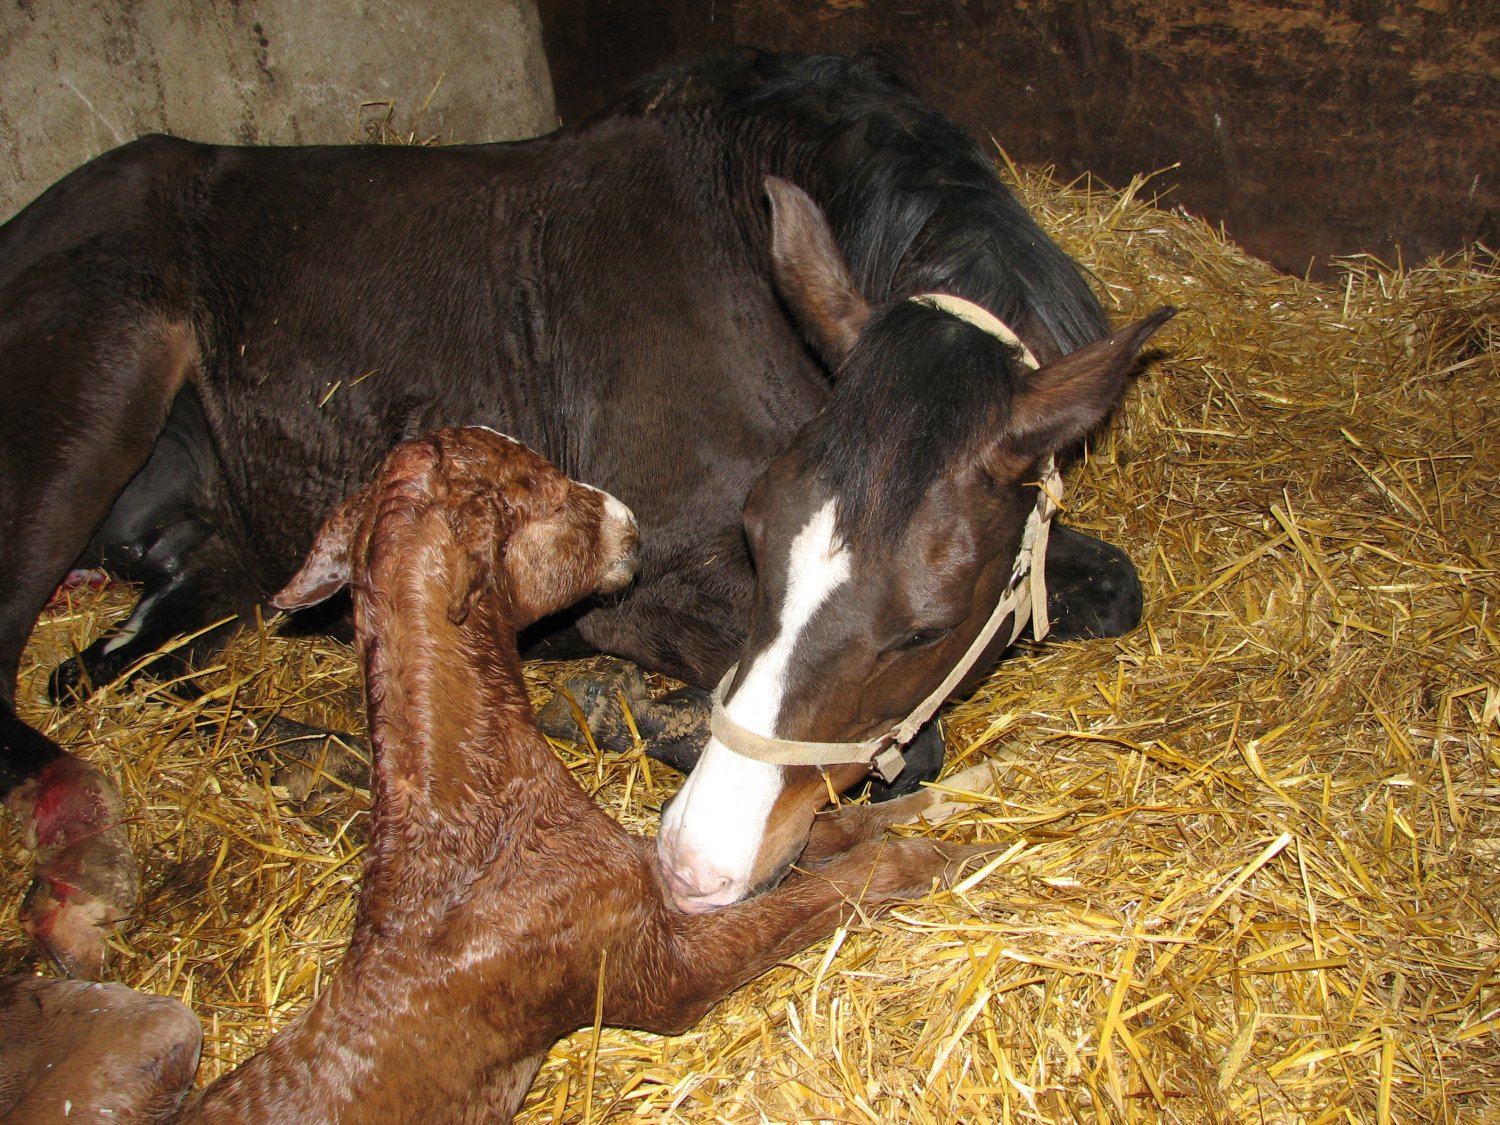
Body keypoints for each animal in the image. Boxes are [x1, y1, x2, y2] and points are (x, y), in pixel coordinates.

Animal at [0, 50, 1172, 975]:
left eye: (927, 625)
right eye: (757, 535)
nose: (697, 861)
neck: (736, 256)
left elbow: (1113, 588)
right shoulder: (641, 580)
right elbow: (897, 747)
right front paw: (614, 711)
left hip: (218, 553)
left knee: (109, 674)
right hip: (92, 393)